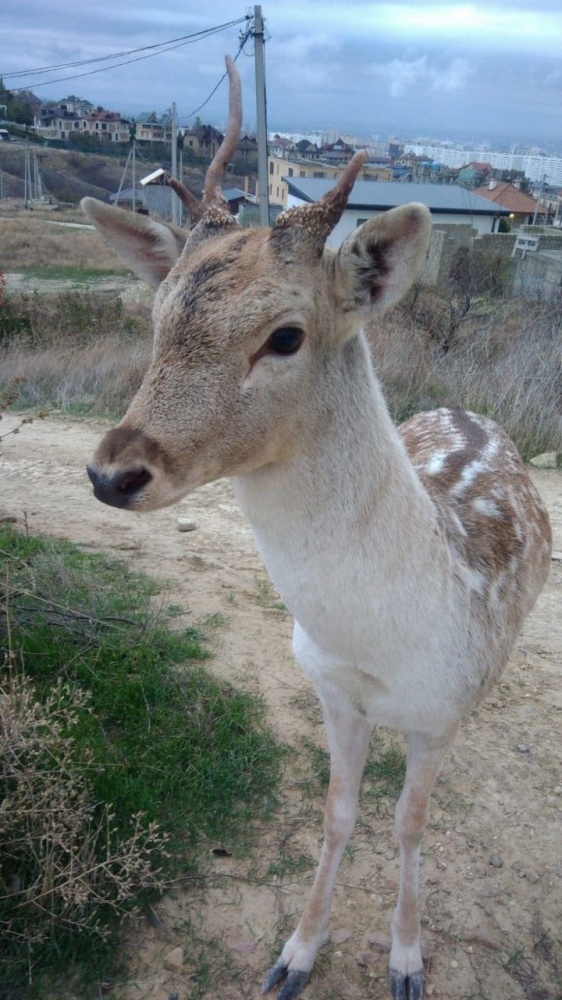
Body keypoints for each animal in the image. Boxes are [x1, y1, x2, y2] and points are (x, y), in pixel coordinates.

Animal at [81, 58, 548, 1000]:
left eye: (286, 336)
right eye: (156, 317)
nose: (113, 471)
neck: (383, 639)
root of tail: (470, 409)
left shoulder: (437, 711)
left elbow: (409, 823)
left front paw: (407, 961)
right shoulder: (330, 688)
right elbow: (336, 814)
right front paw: (295, 953)